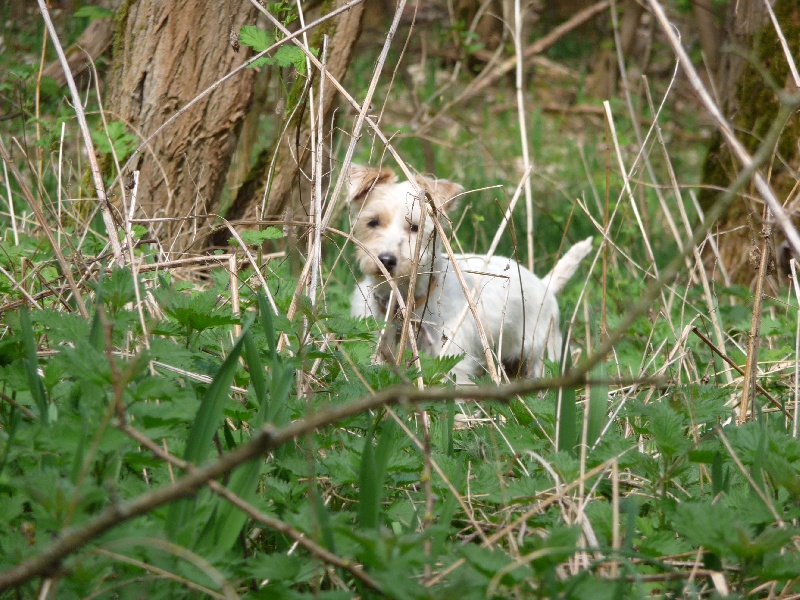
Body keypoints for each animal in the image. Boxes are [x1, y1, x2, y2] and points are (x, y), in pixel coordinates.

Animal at [346, 162, 592, 382]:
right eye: (373, 222)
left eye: (415, 227)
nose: (386, 260)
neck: (404, 301)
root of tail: (544, 285)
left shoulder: (452, 359)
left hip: (541, 355)